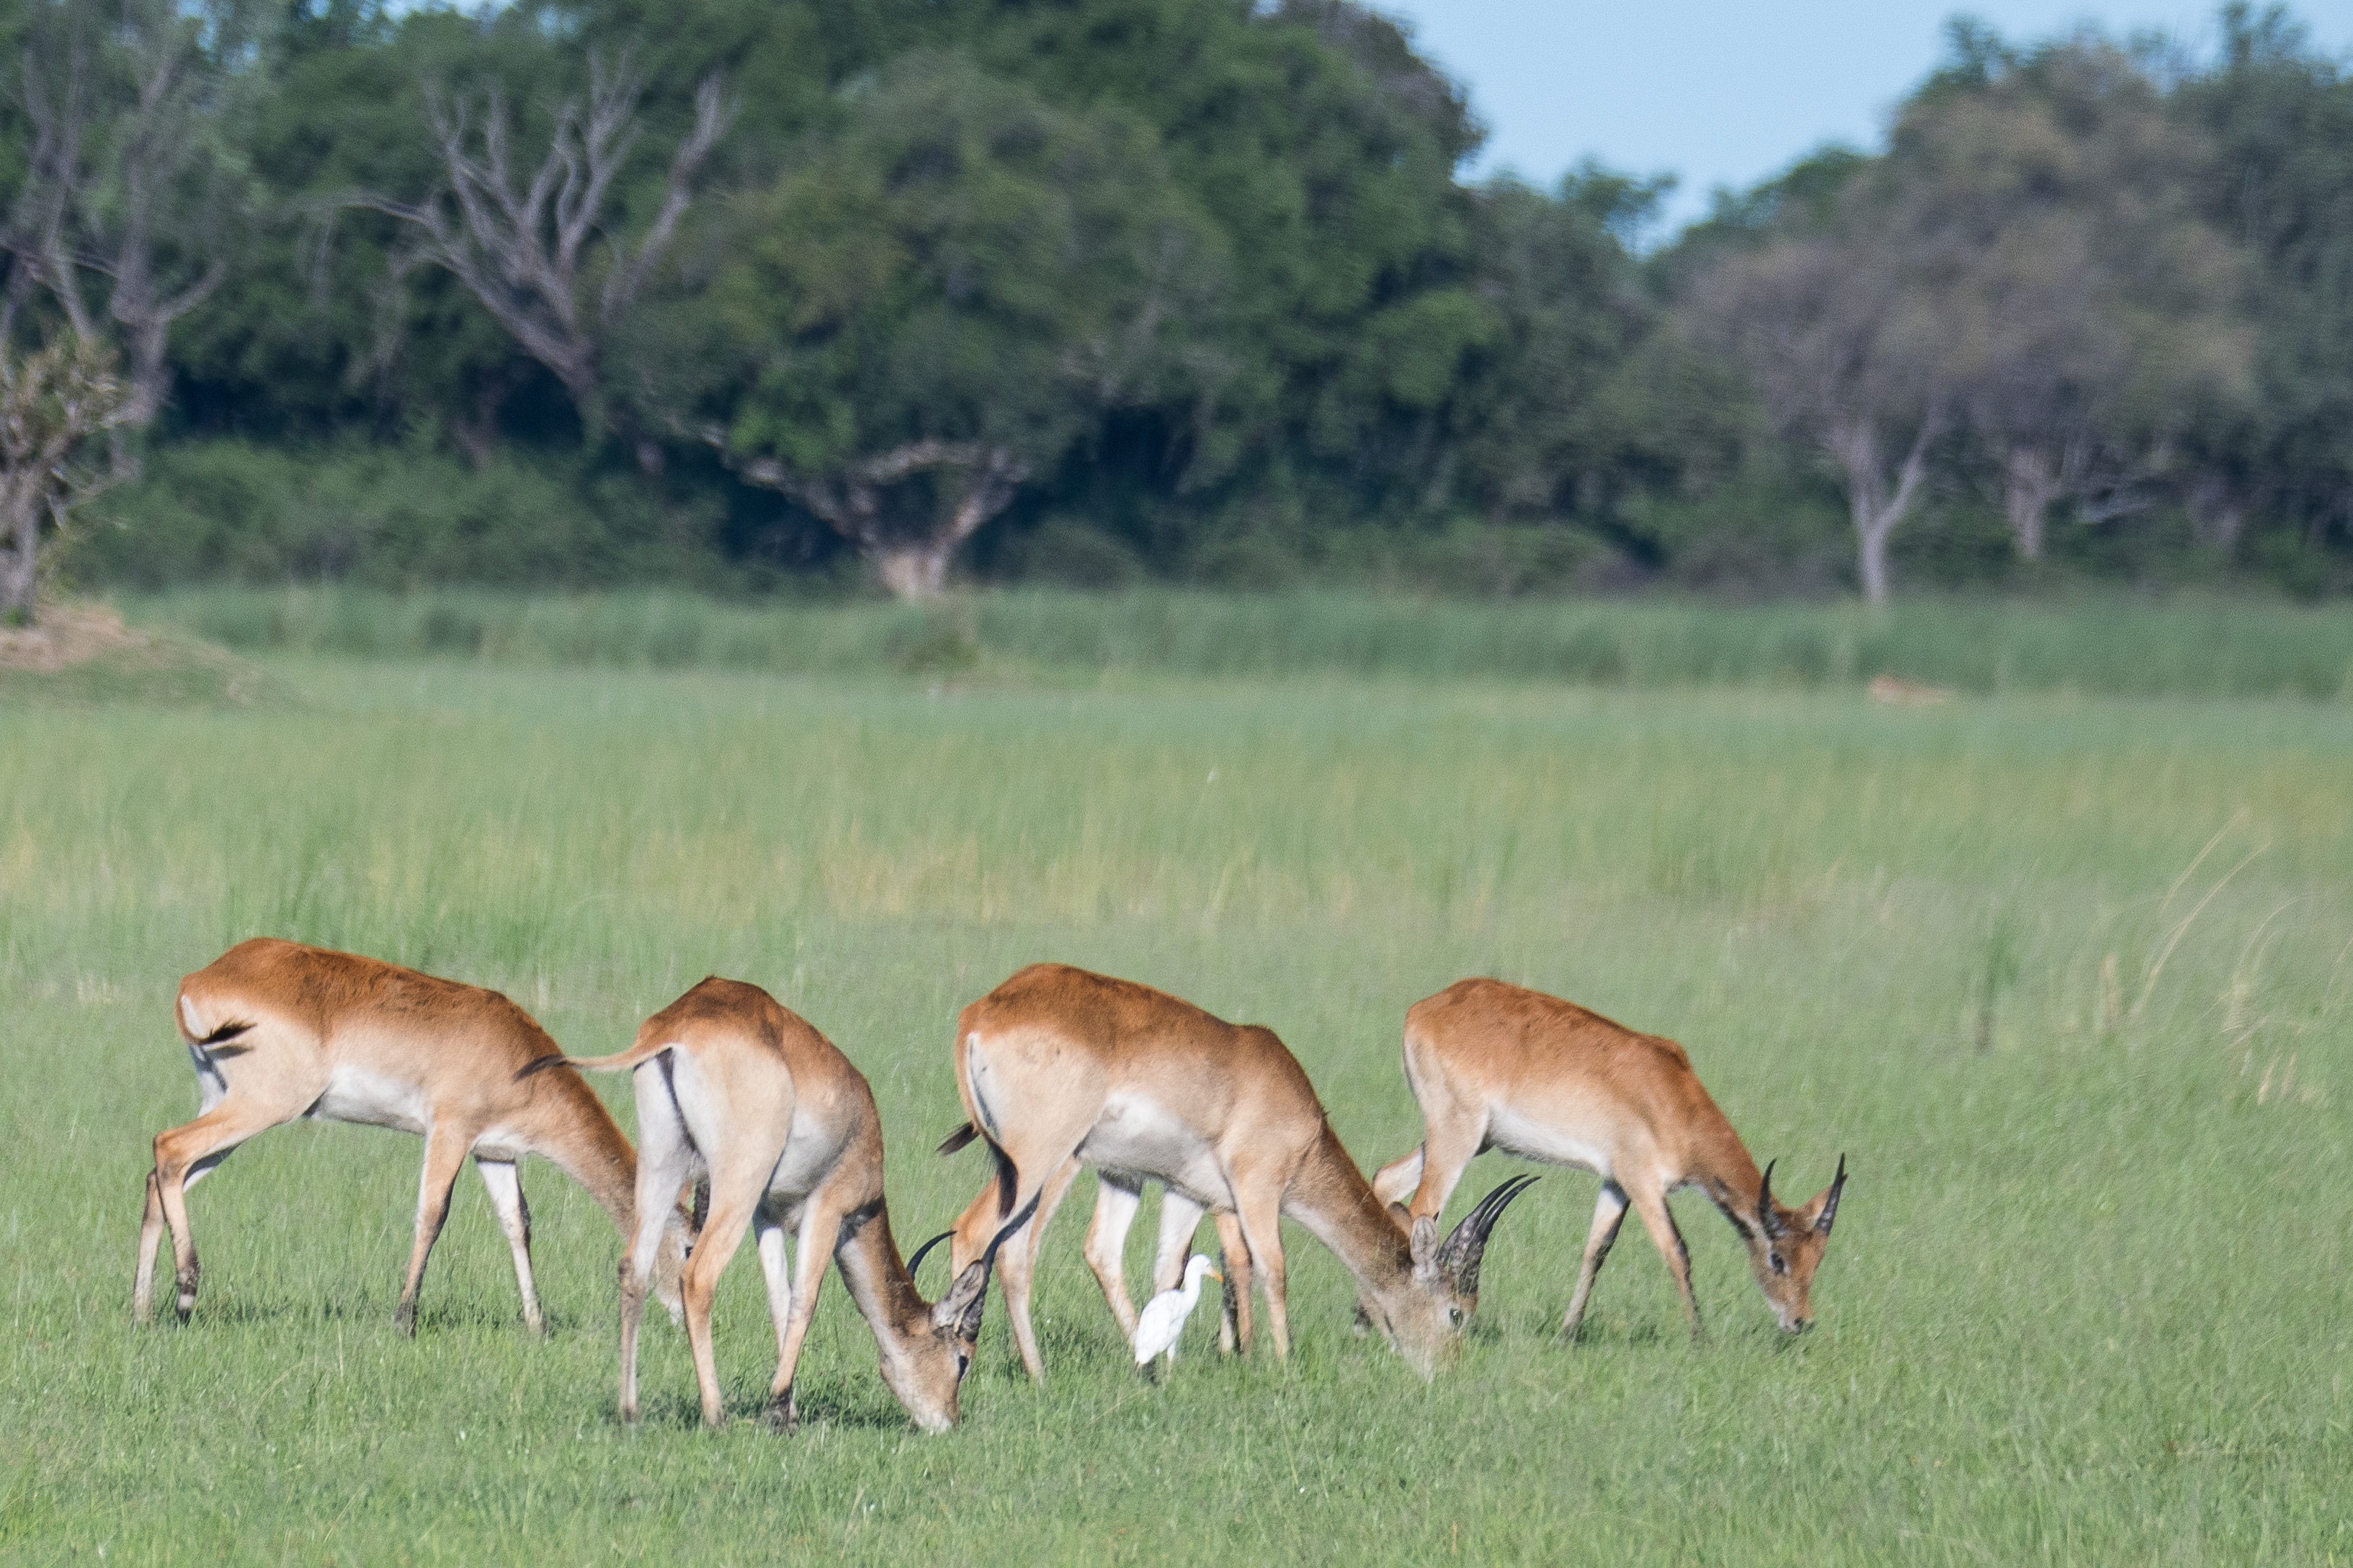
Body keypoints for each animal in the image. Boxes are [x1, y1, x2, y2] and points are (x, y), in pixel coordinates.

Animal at [136, 945, 687, 1335]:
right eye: (686, 1246)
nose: (686, 1311)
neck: (518, 1057)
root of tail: (201, 976)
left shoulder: (495, 1152)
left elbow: (518, 1224)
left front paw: (538, 1326)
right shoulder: (449, 1131)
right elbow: (432, 1214)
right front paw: (404, 1321)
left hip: (225, 1102)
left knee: (160, 1176)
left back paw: (143, 1312)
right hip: (267, 1104)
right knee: (169, 1146)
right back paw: (185, 1295)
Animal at [538, 982, 1030, 1438]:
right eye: (962, 1359)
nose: (949, 1421)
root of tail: (675, 1027)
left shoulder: (768, 1215)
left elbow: (778, 1298)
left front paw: (789, 1412)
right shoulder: (828, 1210)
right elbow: (803, 1300)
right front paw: (777, 1410)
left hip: (663, 1164)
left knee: (633, 1269)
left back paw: (630, 1412)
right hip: (735, 1185)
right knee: (697, 1276)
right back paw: (716, 1417)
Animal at [936, 964, 1543, 1382]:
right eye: (1456, 1311)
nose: (1450, 1369)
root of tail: (980, 1012)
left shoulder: (1188, 1192)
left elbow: (1176, 1270)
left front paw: (1184, 1362)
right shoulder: (1257, 1187)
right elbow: (1273, 1266)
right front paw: (1281, 1360)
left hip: (1091, 1171)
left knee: (1079, 1250)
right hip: (1043, 1162)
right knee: (983, 1235)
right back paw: (998, 1371)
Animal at [1374, 982, 1844, 1335]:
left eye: (1818, 1258)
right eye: (1778, 1258)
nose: (1801, 1321)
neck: (1673, 1096)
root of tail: (1423, 1009)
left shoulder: (1616, 1182)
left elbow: (1596, 1250)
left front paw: (1566, 1335)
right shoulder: (1642, 1180)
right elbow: (1678, 1251)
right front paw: (1701, 1339)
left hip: (1474, 1140)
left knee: (1385, 1181)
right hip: (1457, 1137)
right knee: (1420, 1210)